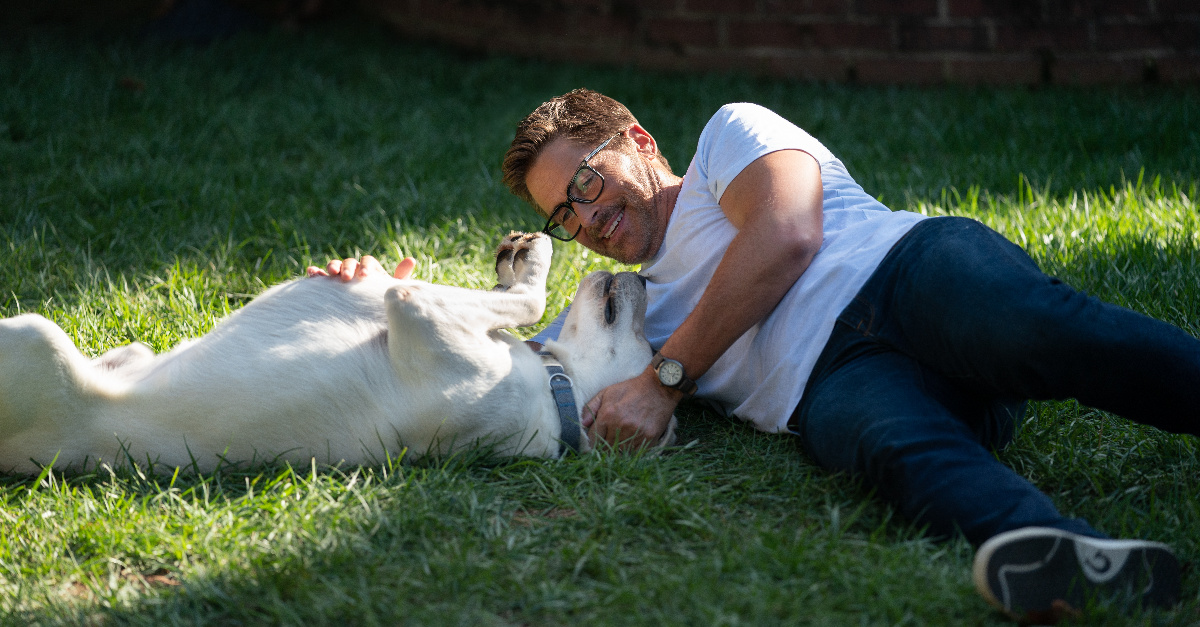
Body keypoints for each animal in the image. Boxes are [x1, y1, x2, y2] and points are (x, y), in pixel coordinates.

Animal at [0, 231, 672, 470]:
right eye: (649, 341)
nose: (643, 280)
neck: (558, 391)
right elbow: (507, 300)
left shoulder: (418, 313)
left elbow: (522, 302)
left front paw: (533, 262)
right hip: (126, 349)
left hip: (36, 337)